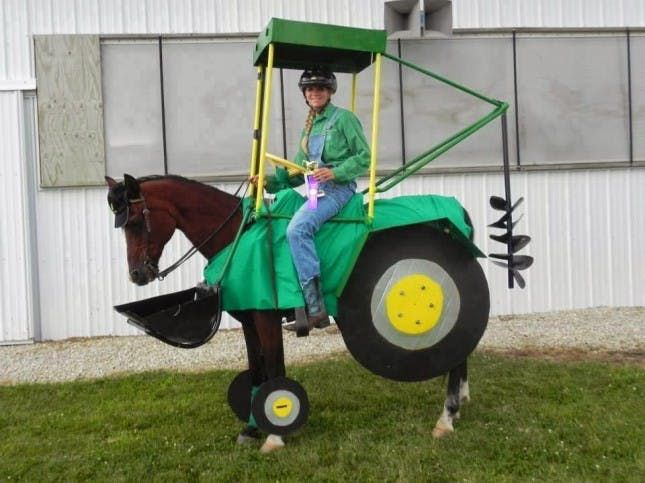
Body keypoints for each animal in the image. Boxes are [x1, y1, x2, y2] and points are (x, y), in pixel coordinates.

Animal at [105, 174, 468, 454]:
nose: (137, 275)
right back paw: (459, 403)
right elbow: (257, 371)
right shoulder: (249, 320)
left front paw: (276, 432)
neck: (239, 235)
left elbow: (275, 370)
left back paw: (446, 417)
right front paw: (251, 428)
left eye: (134, 223)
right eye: (122, 227)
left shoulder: (266, 318)